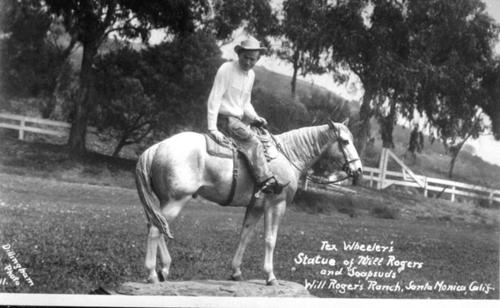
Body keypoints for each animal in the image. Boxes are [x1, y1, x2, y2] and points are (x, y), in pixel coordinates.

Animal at [135, 119, 364, 286]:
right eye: (345, 142)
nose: (359, 170)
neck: (287, 156)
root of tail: (156, 148)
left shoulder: (256, 207)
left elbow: (245, 236)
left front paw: (236, 272)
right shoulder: (276, 205)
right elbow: (270, 239)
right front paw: (270, 276)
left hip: (165, 201)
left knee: (155, 225)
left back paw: (164, 269)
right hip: (176, 200)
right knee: (155, 230)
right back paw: (152, 274)